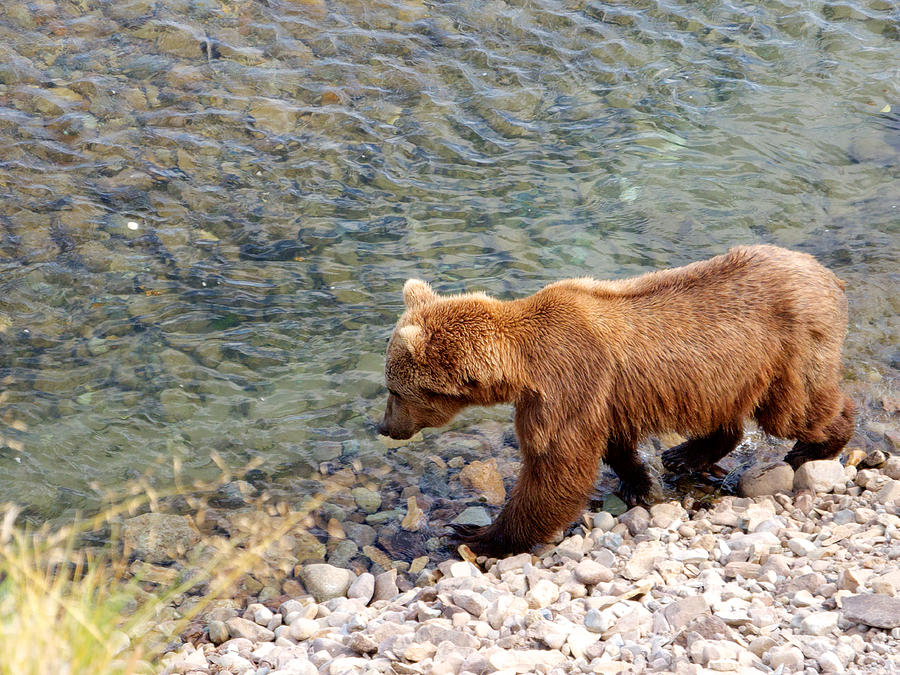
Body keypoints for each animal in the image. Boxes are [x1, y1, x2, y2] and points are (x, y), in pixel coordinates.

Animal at [376, 246, 856, 556]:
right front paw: (638, 481)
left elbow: (557, 467)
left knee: (797, 410)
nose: (384, 427)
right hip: (727, 372)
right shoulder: (602, 396)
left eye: (394, 390)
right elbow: (611, 444)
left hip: (787, 350)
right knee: (728, 417)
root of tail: (828, 274)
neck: (520, 367)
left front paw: (476, 535)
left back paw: (815, 446)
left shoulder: (566, 383)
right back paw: (684, 454)